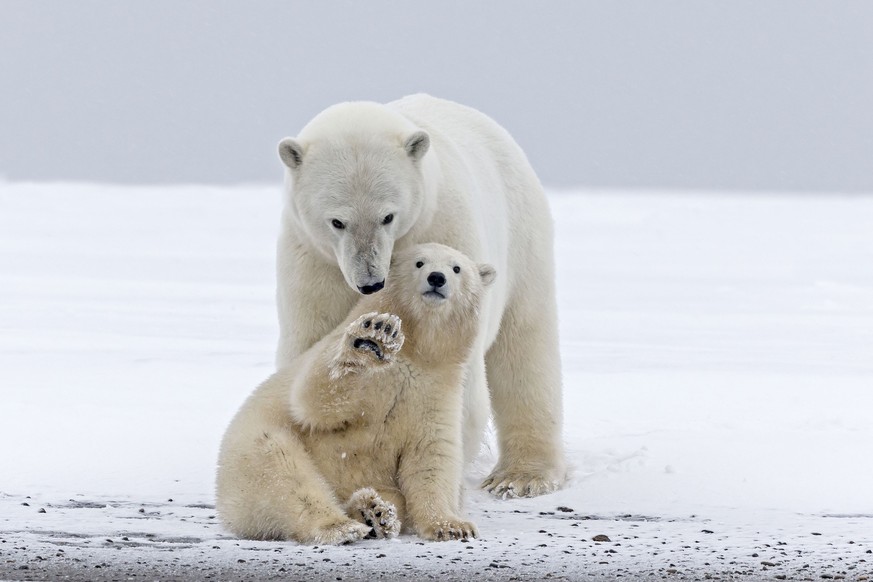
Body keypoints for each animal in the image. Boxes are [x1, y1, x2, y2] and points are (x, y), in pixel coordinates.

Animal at [278, 94, 564, 498]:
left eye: (388, 216)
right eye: (337, 221)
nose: (370, 283)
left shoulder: (444, 231)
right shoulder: (314, 263)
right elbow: (312, 350)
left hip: (523, 237)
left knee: (524, 347)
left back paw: (521, 476)